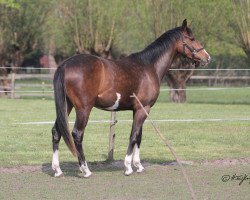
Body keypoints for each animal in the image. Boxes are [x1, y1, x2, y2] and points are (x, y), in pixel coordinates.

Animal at [51, 19, 210, 177]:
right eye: (192, 39)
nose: (207, 57)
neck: (149, 66)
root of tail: (65, 65)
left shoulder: (139, 109)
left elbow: (139, 136)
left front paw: (138, 165)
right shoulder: (143, 108)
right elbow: (133, 136)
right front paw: (128, 167)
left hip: (67, 106)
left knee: (56, 131)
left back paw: (58, 170)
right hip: (83, 109)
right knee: (77, 134)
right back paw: (85, 169)